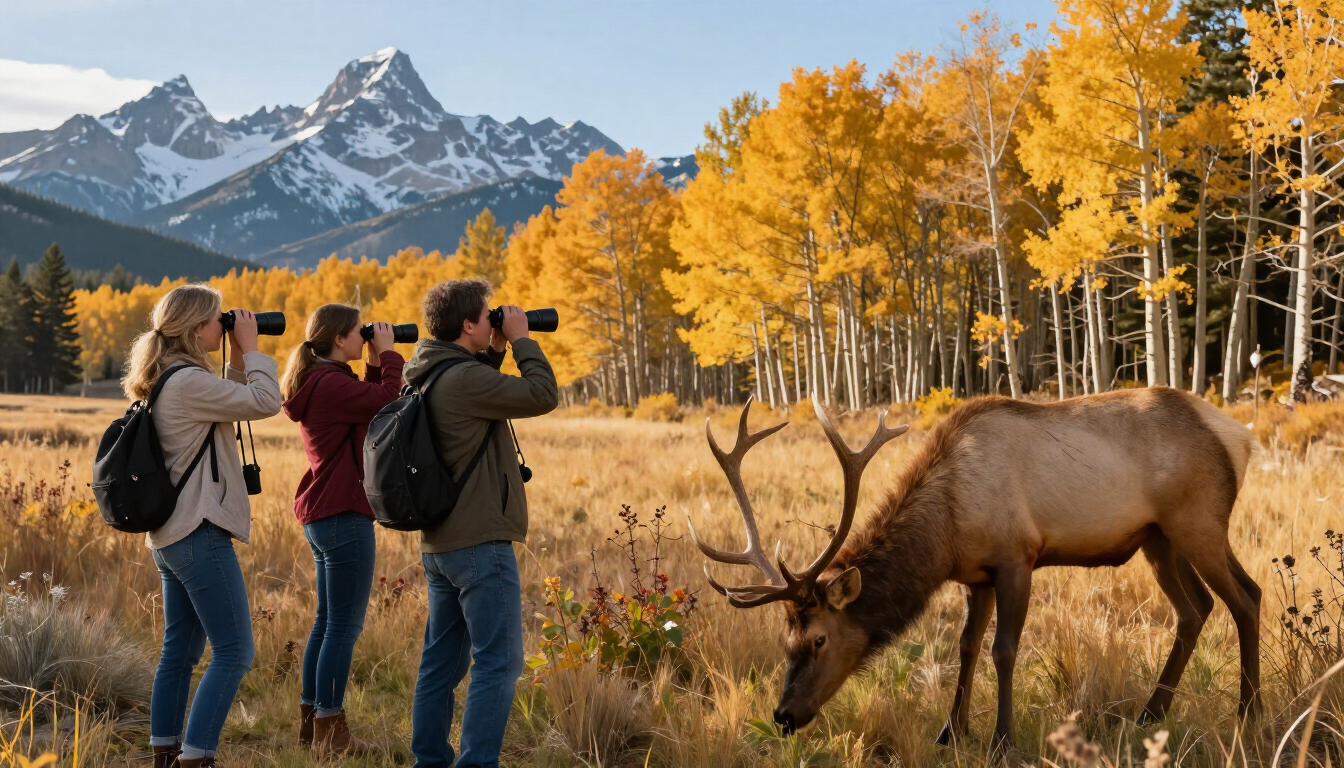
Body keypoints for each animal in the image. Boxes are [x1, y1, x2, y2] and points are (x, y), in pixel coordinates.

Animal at [687, 387, 1259, 750]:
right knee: (1196, 608)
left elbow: (1003, 650)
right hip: (1158, 538)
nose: (784, 716)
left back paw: (1246, 714)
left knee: (1245, 596)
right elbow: (966, 646)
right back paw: (1149, 714)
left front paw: (1002, 740)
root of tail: (1241, 437)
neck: (947, 529)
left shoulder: (1017, 557)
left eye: (819, 639)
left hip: (1200, 519)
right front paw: (950, 731)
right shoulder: (976, 574)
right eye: (785, 640)